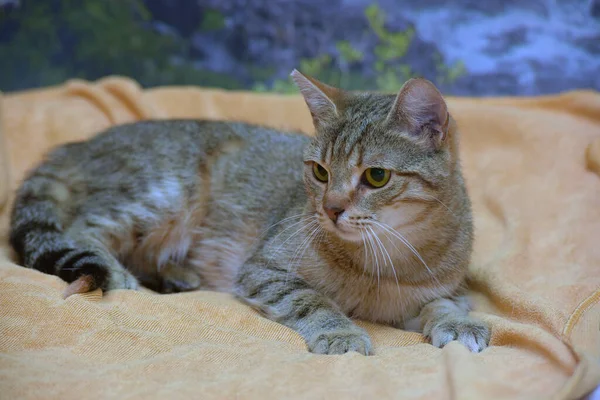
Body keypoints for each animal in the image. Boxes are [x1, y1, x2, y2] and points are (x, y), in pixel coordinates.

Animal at [7, 70, 490, 354]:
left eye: (376, 176)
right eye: (319, 171)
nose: (331, 209)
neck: (388, 257)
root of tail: (78, 144)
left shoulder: (439, 288)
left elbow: (445, 303)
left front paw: (460, 321)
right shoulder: (264, 269)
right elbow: (311, 298)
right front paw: (341, 331)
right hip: (164, 193)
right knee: (81, 227)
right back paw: (125, 275)